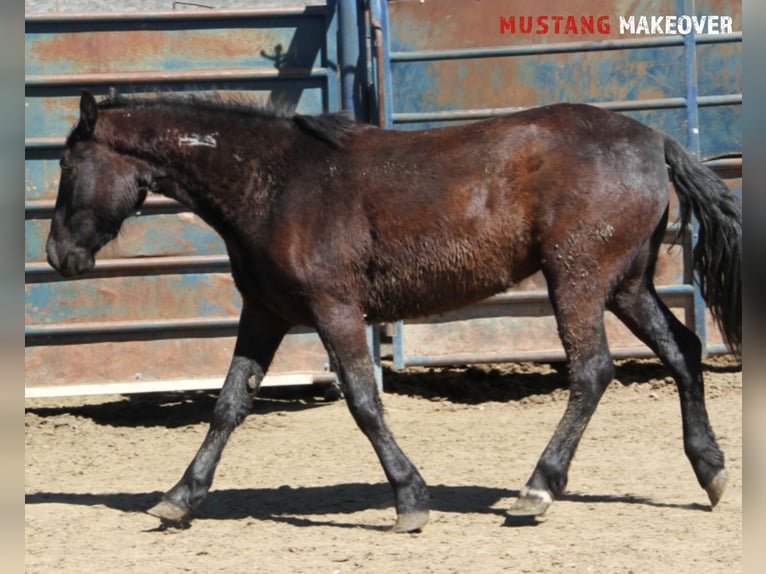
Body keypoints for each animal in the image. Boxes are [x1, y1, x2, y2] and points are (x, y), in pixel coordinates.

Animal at [45, 91, 740, 536]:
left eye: (67, 164)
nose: (58, 255)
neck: (275, 183)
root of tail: (654, 140)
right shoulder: (265, 313)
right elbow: (229, 404)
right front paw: (179, 499)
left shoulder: (336, 310)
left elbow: (363, 402)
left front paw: (410, 500)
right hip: (626, 285)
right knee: (683, 350)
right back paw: (710, 473)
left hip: (578, 280)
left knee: (592, 372)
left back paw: (536, 490)